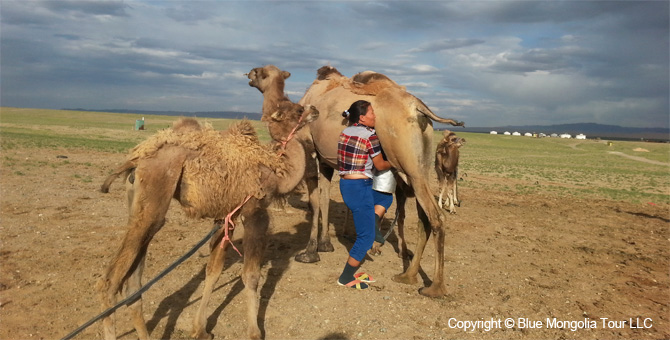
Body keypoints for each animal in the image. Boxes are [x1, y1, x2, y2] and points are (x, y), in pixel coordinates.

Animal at [249, 65, 464, 296]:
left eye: (261, 73)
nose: (249, 75)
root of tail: (418, 106)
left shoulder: (308, 149)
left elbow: (315, 203)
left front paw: (309, 252)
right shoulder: (326, 160)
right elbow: (325, 199)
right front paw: (326, 244)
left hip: (408, 165)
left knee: (435, 217)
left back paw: (434, 287)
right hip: (420, 165)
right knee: (422, 216)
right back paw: (408, 274)